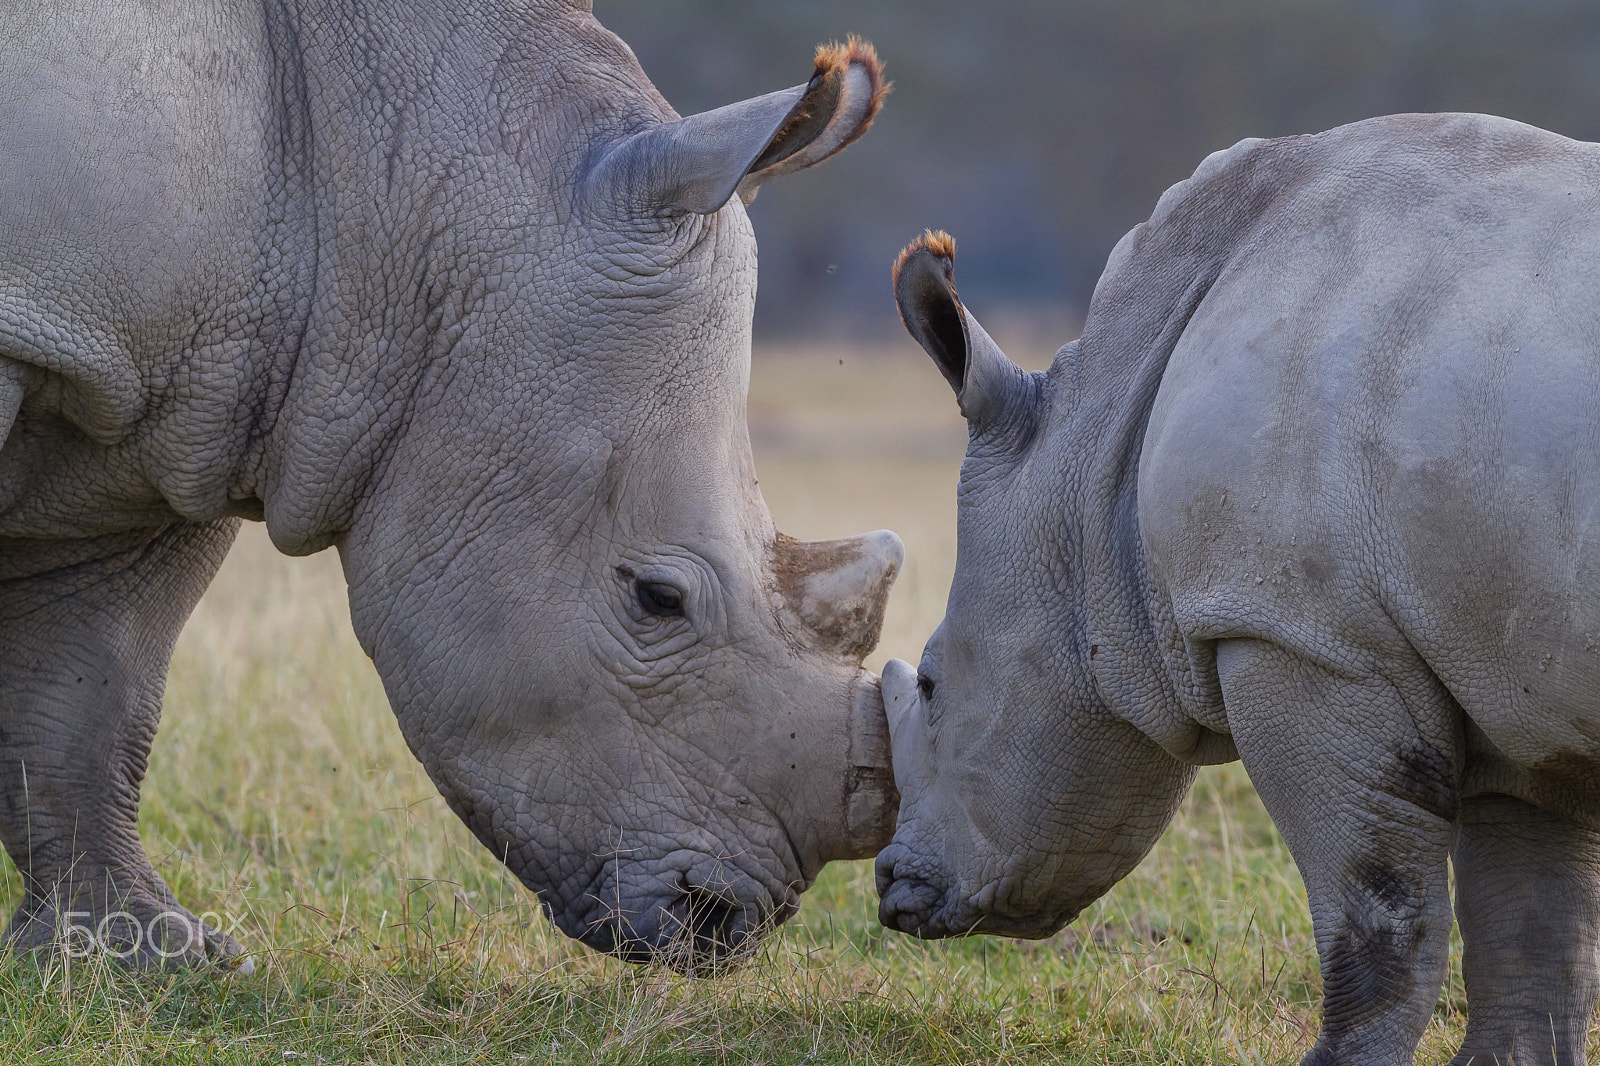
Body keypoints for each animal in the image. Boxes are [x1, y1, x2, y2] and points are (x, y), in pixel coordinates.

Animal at [883, 112, 1600, 1056]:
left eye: (932, 685)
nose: (891, 888)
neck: (1098, 457)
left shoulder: (1306, 639)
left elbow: (1379, 924)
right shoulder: (1509, 692)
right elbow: (1537, 945)